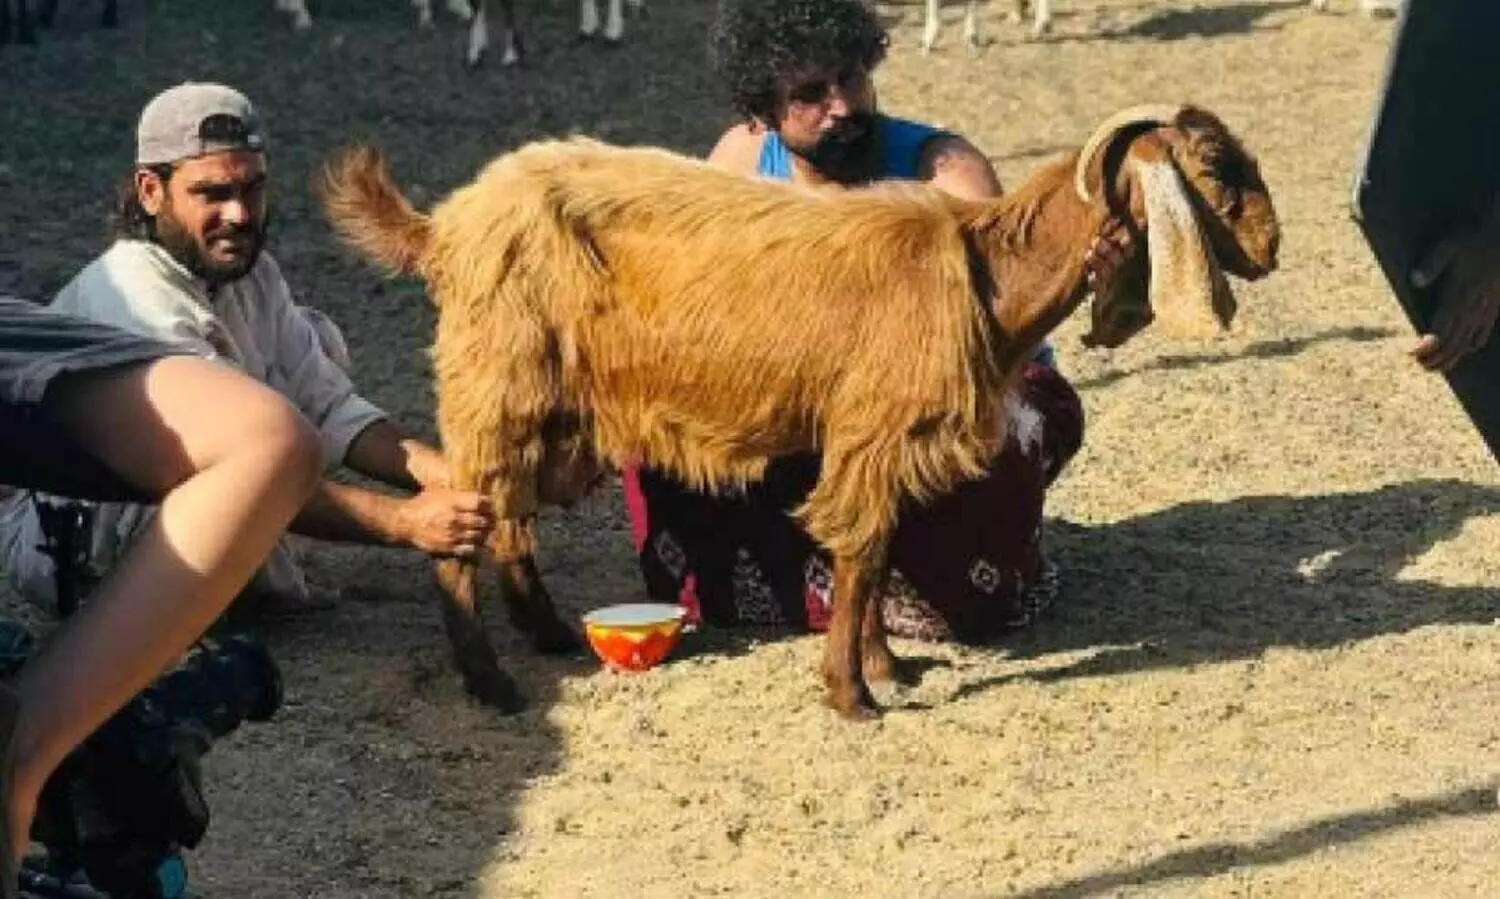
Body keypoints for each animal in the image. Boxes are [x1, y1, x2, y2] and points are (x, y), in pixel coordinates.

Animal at [316, 104, 1280, 719]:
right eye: (1215, 167)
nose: (1273, 246)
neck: (982, 275)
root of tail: (444, 226)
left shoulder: (883, 441)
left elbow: (876, 558)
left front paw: (890, 668)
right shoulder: (870, 432)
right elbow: (860, 557)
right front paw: (852, 696)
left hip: (540, 406)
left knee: (510, 522)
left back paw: (548, 635)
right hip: (495, 383)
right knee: (462, 529)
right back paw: (491, 683)